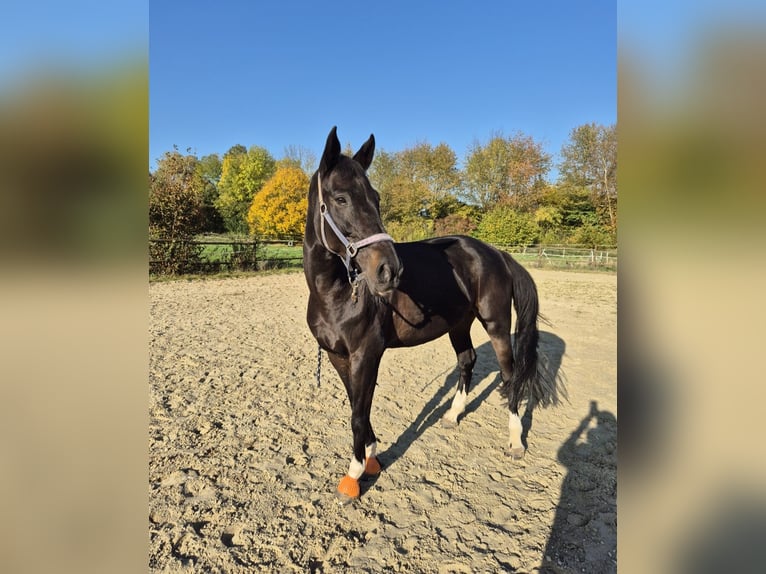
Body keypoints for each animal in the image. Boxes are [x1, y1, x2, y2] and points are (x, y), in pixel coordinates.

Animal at [303, 127, 563, 500]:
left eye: (376, 198)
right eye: (340, 199)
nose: (389, 270)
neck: (335, 293)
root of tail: (495, 253)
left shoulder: (367, 354)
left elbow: (358, 413)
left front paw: (354, 475)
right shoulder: (339, 356)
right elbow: (357, 405)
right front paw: (371, 458)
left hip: (497, 324)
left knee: (510, 374)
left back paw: (515, 441)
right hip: (459, 324)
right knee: (467, 360)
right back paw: (453, 415)